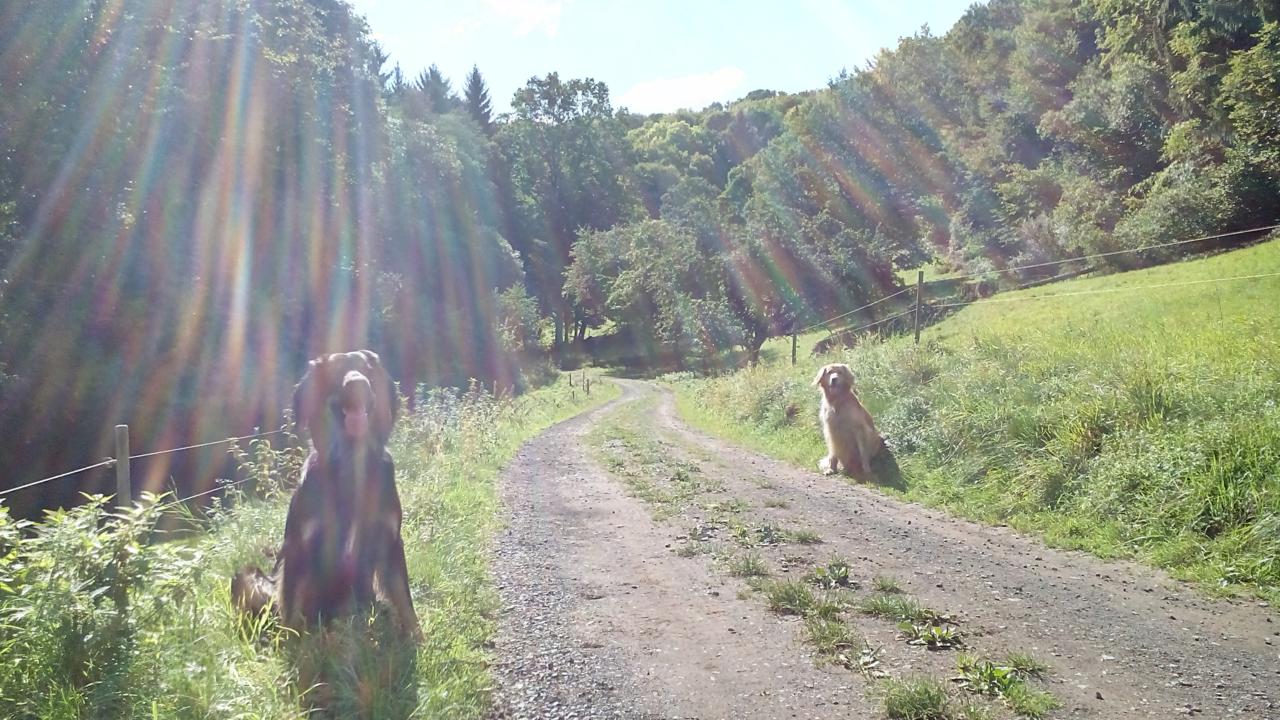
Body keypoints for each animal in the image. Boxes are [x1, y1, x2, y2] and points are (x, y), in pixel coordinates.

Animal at [232, 350, 422, 642]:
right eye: (335, 372)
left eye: (367, 369)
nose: (357, 384)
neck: (351, 460)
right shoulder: (299, 545)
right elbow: (292, 609)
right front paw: (292, 646)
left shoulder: (390, 539)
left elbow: (404, 598)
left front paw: (418, 638)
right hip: (247, 576)